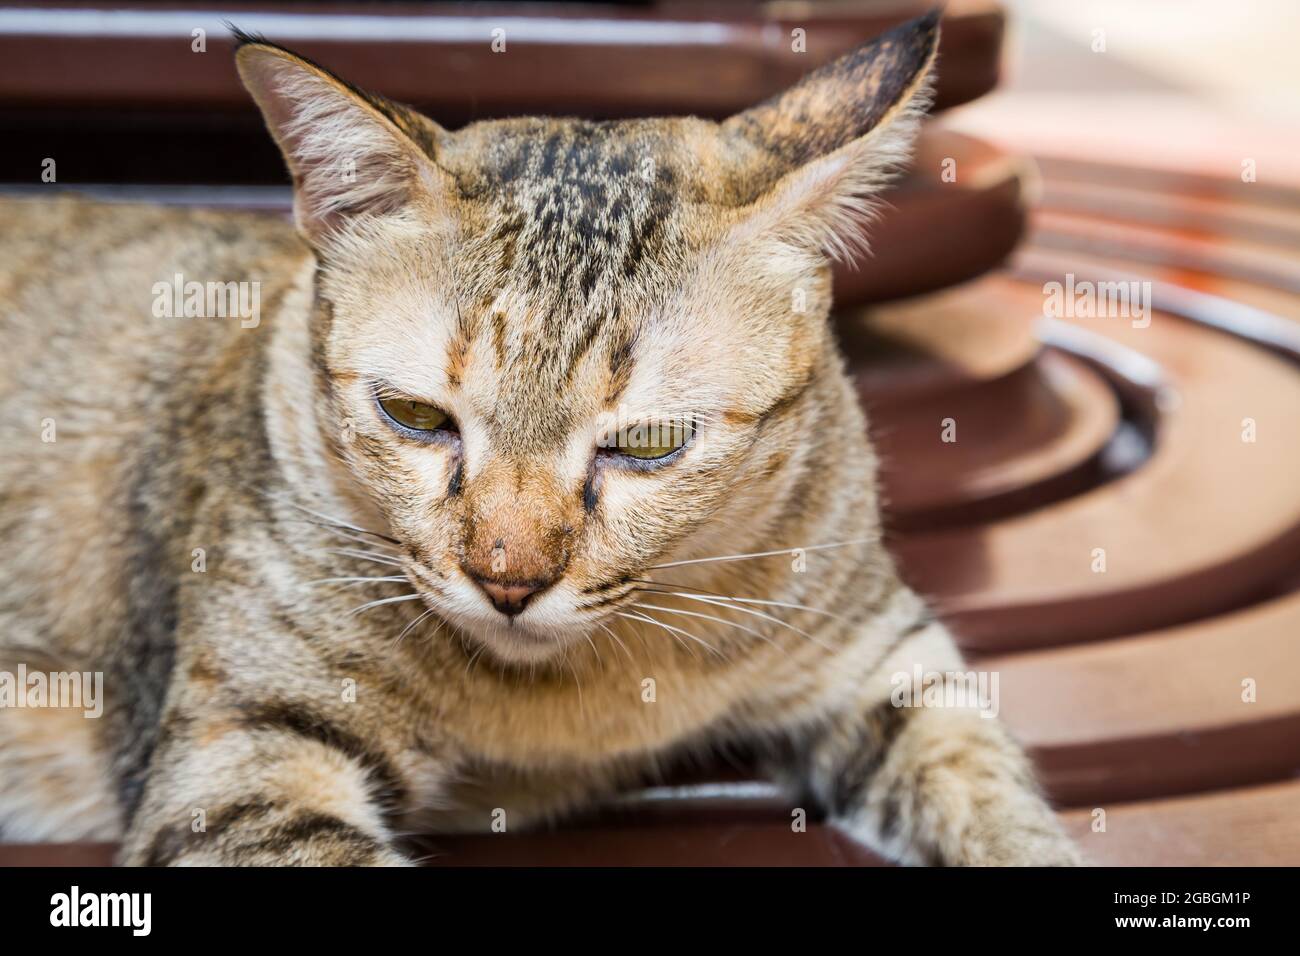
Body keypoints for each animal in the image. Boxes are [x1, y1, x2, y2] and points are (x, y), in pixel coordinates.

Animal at [0, 13, 1076, 868]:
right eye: (416, 418)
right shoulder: (243, 761)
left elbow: (991, 789)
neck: (571, 698)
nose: (506, 579)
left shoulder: (886, 662)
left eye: (647, 441)